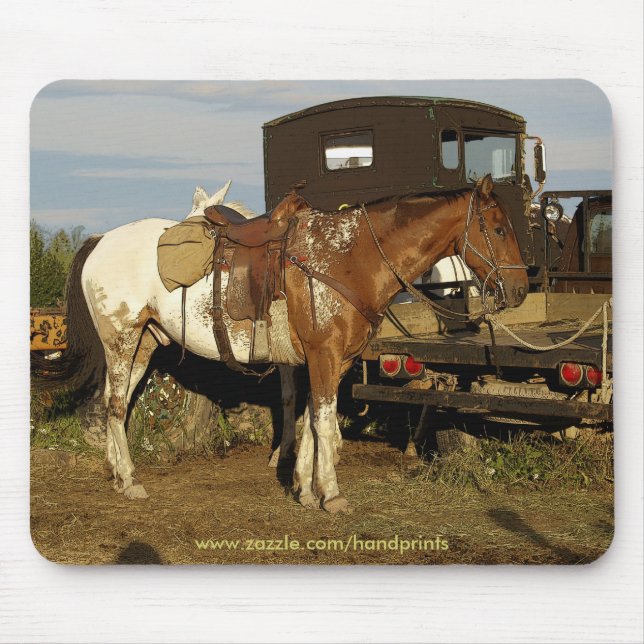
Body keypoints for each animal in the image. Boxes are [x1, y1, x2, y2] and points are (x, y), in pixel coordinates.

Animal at [33, 174, 528, 513]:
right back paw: (131, 480)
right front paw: (331, 493)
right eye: (499, 229)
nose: (521, 289)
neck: (350, 257)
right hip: (121, 339)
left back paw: (119, 476)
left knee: (112, 403)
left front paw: (305, 489)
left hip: (145, 343)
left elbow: (310, 419)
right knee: (117, 405)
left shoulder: (327, 361)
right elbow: (324, 422)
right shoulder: (324, 356)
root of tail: (99, 240)